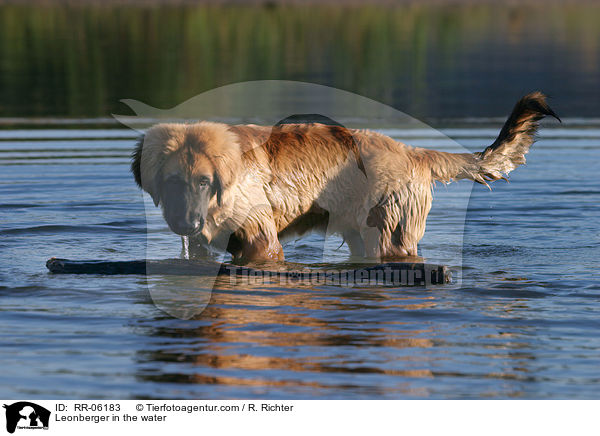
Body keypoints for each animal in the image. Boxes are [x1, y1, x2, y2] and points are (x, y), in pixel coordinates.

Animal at [131, 91, 556, 262]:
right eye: (171, 182)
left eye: (205, 181)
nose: (186, 222)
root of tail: (410, 152)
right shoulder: (202, 244)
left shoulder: (260, 241)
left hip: (387, 233)